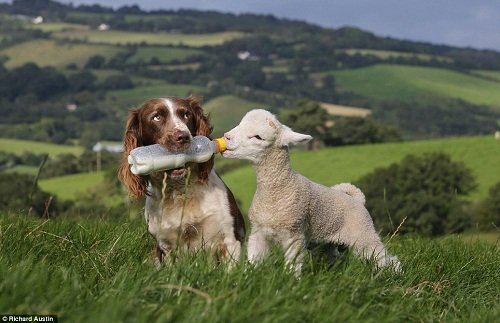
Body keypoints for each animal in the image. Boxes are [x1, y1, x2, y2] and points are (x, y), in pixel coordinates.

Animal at [119, 95, 248, 266]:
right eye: (156, 117)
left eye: (187, 114)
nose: (183, 137)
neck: (179, 191)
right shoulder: (166, 246)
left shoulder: (230, 238)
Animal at [221, 110, 400, 274]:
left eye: (258, 137)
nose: (226, 137)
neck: (278, 190)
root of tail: (357, 199)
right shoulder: (258, 232)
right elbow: (254, 261)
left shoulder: (294, 234)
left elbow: (292, 265)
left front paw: (291, 282)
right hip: (326, 243)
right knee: (333, 258)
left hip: (362, 233)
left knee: (384, 258)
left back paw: (393, 274)